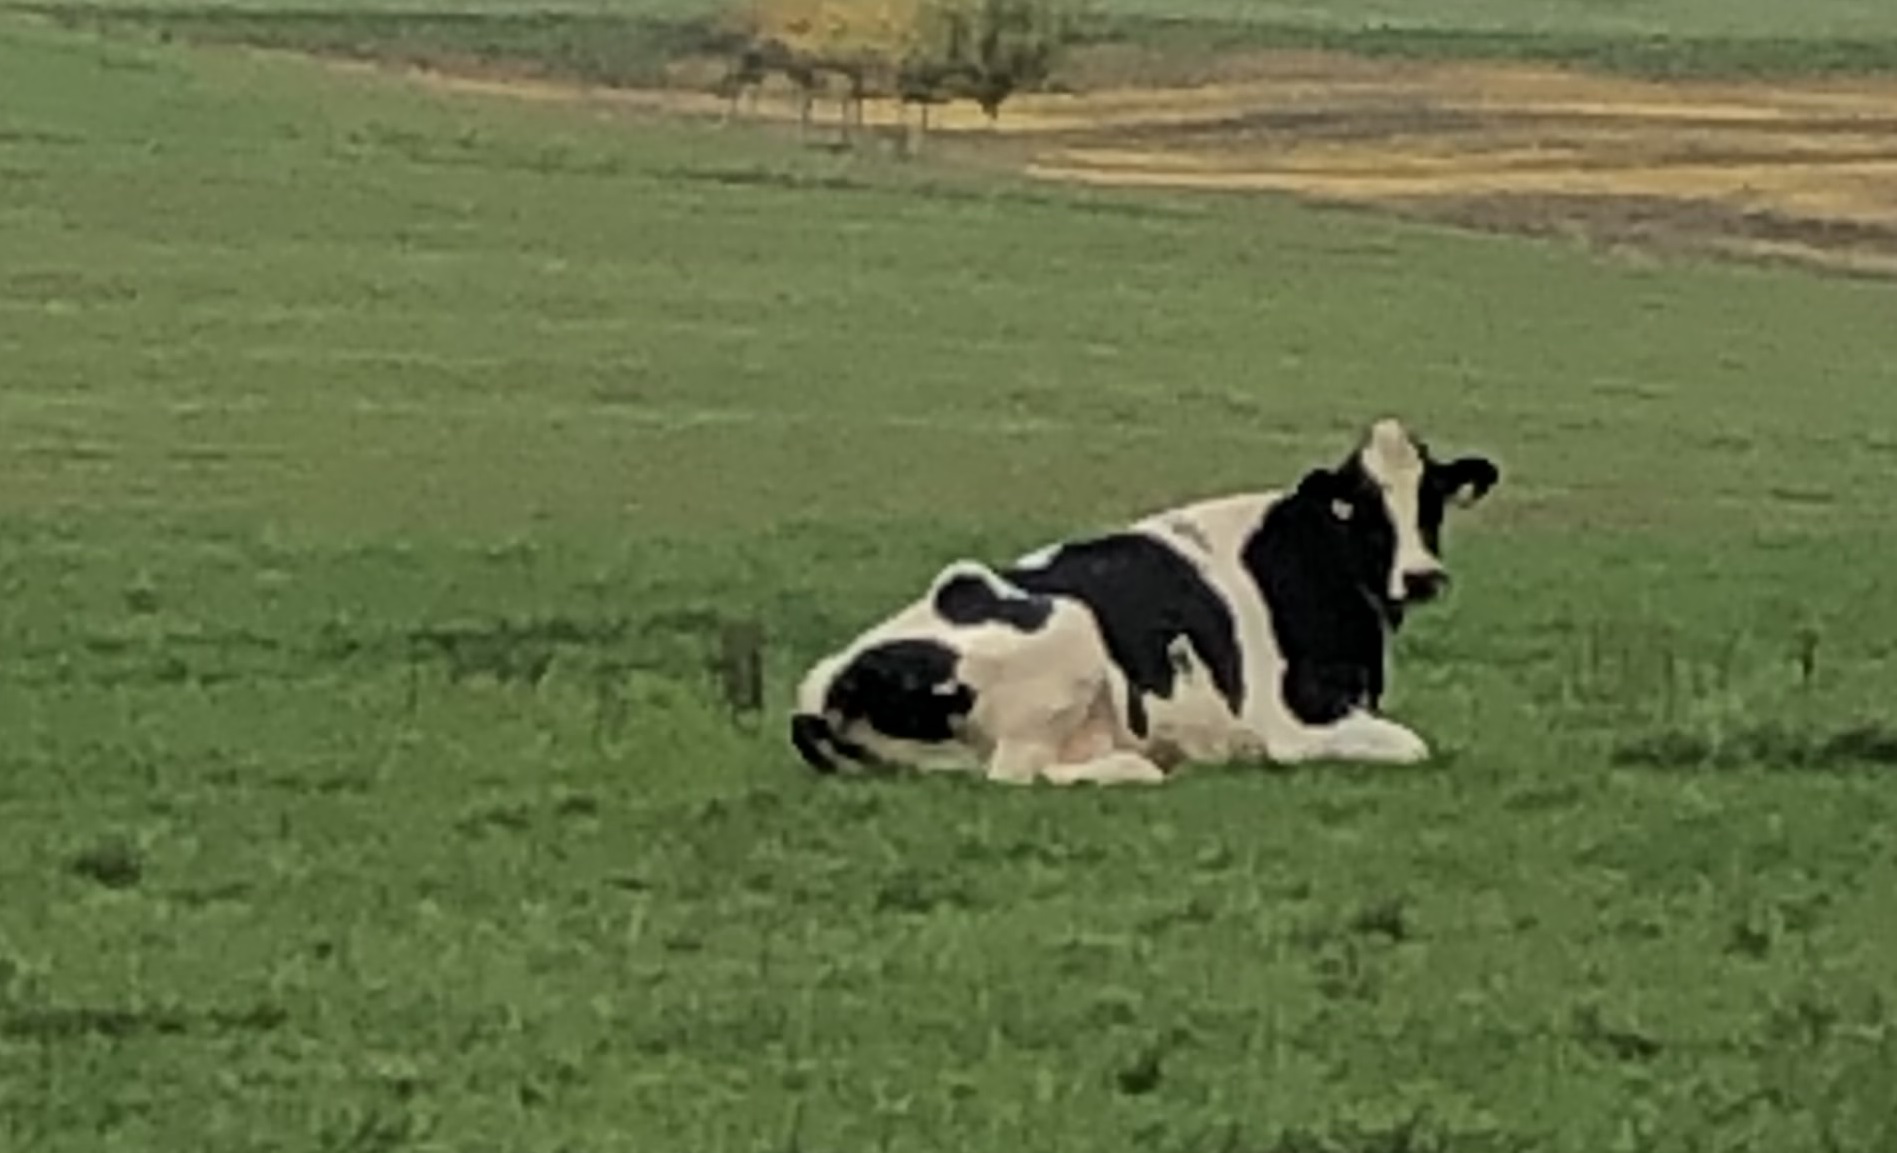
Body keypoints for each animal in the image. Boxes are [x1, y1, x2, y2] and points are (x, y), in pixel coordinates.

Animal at [785, 413, 1494, 785]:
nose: (1423, 576)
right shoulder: (1291, 721)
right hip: (1068, 633)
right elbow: (1411, 745)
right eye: (1361, 507)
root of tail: (828, 683)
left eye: (1431, 499)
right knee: (1022, 771)